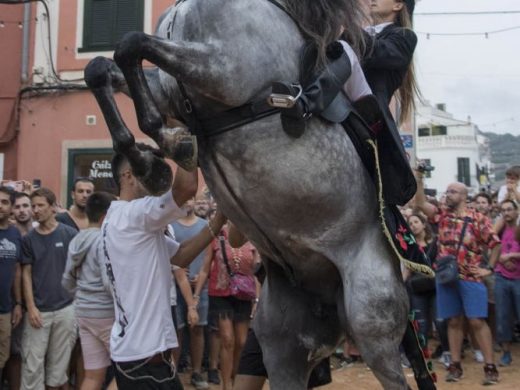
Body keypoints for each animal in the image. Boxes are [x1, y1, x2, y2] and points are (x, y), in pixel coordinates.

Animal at [83, 0, 428, 390]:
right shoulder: (170, 89)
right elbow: (102, 68)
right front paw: (151, 161)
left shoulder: (225, 70)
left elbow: (131, 44)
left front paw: (167, 147)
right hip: (282, 346)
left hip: (371, 317)